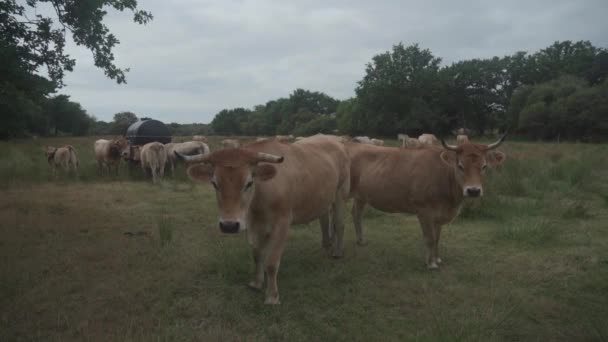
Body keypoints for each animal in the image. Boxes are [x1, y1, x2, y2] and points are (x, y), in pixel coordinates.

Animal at [175, 135, 352, 304]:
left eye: (249, 183)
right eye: (214, 183)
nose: (229, 225)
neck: (259, 201)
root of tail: (334, 141)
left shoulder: (282, 223)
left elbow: (272, 262)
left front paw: (272, 296)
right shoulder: (252, 223)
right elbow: (257, 255)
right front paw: (256, 283)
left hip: (340, 193)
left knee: (339, 223)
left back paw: (337, 251)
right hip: (324, 199)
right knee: (325, 220)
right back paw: (326, 246)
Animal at [344, 135, 506, 268]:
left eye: (484, 166)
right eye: (460, 165)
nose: (473, 191)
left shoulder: (439, 215)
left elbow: (437, 238)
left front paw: (437, 258)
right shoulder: (424, 211)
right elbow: (430, 238)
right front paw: (431, 263)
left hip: (361, 196)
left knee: (356, 213)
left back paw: (361, 240)